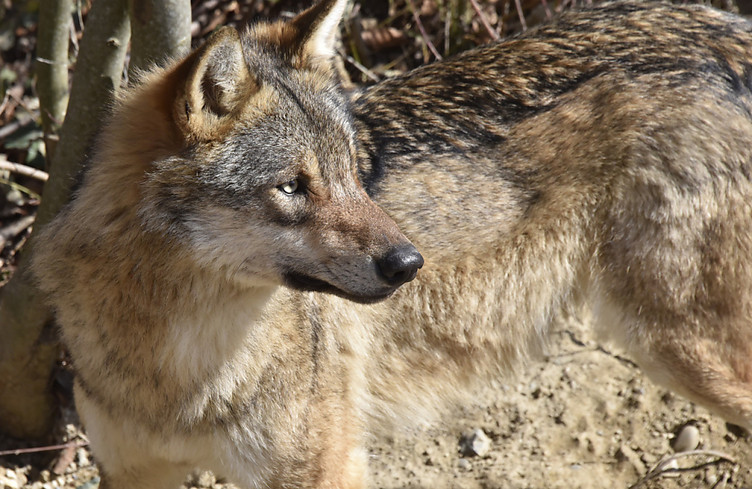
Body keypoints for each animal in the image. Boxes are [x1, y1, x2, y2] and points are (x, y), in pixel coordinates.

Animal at [33, 0, 752, 487]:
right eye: (292, 187)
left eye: (354, 171)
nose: (410, 263)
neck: (177, 368)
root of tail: (721, 27)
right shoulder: (133, 470)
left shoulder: (324, 471)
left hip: (679, 348)